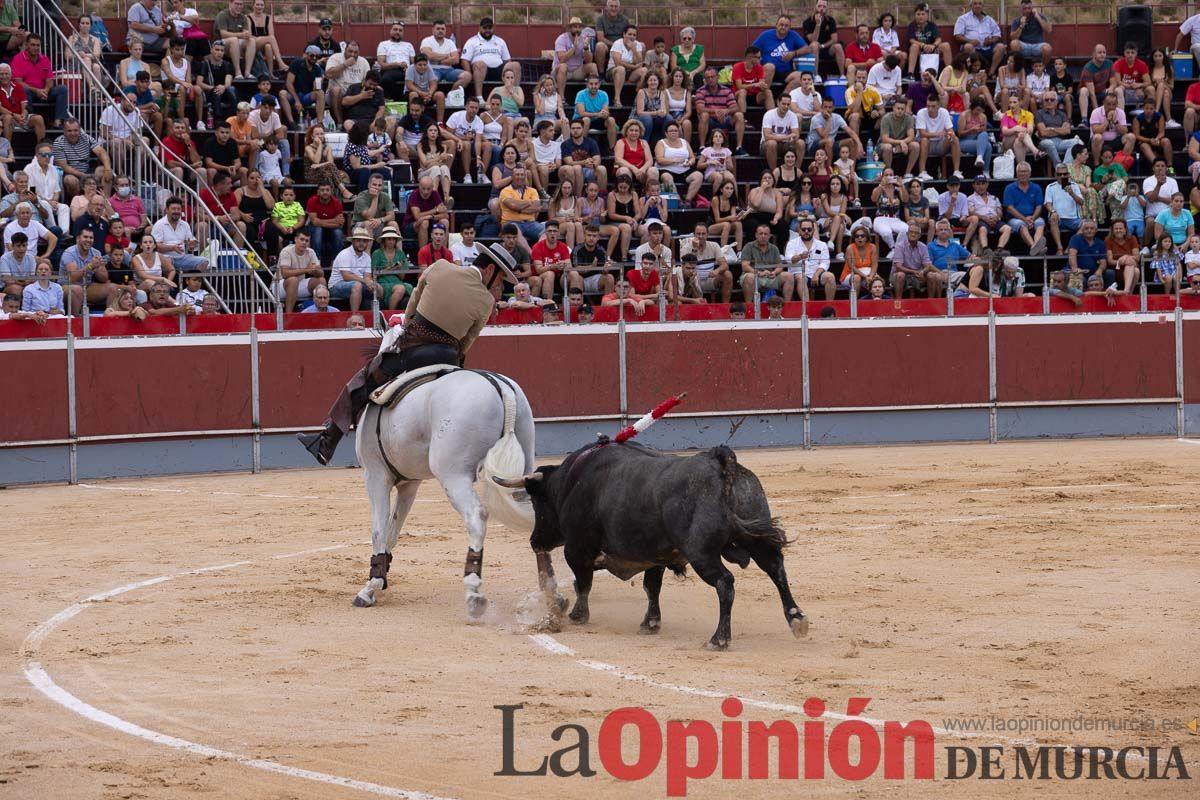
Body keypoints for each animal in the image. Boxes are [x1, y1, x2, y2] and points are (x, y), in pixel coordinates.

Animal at [350, 326, 540, 618]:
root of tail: (499, 387)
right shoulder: (409, 484)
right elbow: (393, 530)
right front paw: (381, 579)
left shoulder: (375, 475)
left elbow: (379, 530)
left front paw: (370, 588)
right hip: (522, 470)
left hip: (453, 475)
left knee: (476, 516)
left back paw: (473, 593)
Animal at [496, 441, 806, 652]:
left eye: (538, 501)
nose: (535, 541)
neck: (571, 481)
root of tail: (720, 461)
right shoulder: (655, 554)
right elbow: (651, 587)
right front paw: (650, 623)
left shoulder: (577, 549)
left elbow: (583, 583)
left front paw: (577, 616)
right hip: (757, 536)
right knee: (776, 569)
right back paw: (796, 619)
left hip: (702, 553)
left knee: (725, 583)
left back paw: (719, 639)